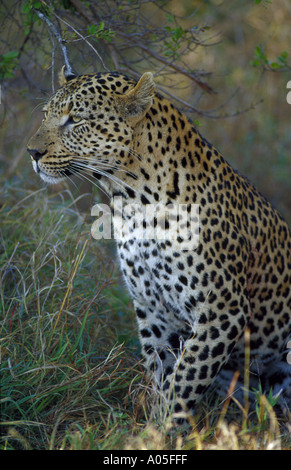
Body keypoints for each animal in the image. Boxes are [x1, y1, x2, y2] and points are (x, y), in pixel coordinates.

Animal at [26, 67, 290, 422]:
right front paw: (152, 422)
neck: (133, 202)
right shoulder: (153, 310)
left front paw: (164, 428)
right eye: (46, 115)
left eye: (75, 120)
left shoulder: (223, 309)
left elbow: (185, 378)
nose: (32, 153)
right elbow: (161, 372)